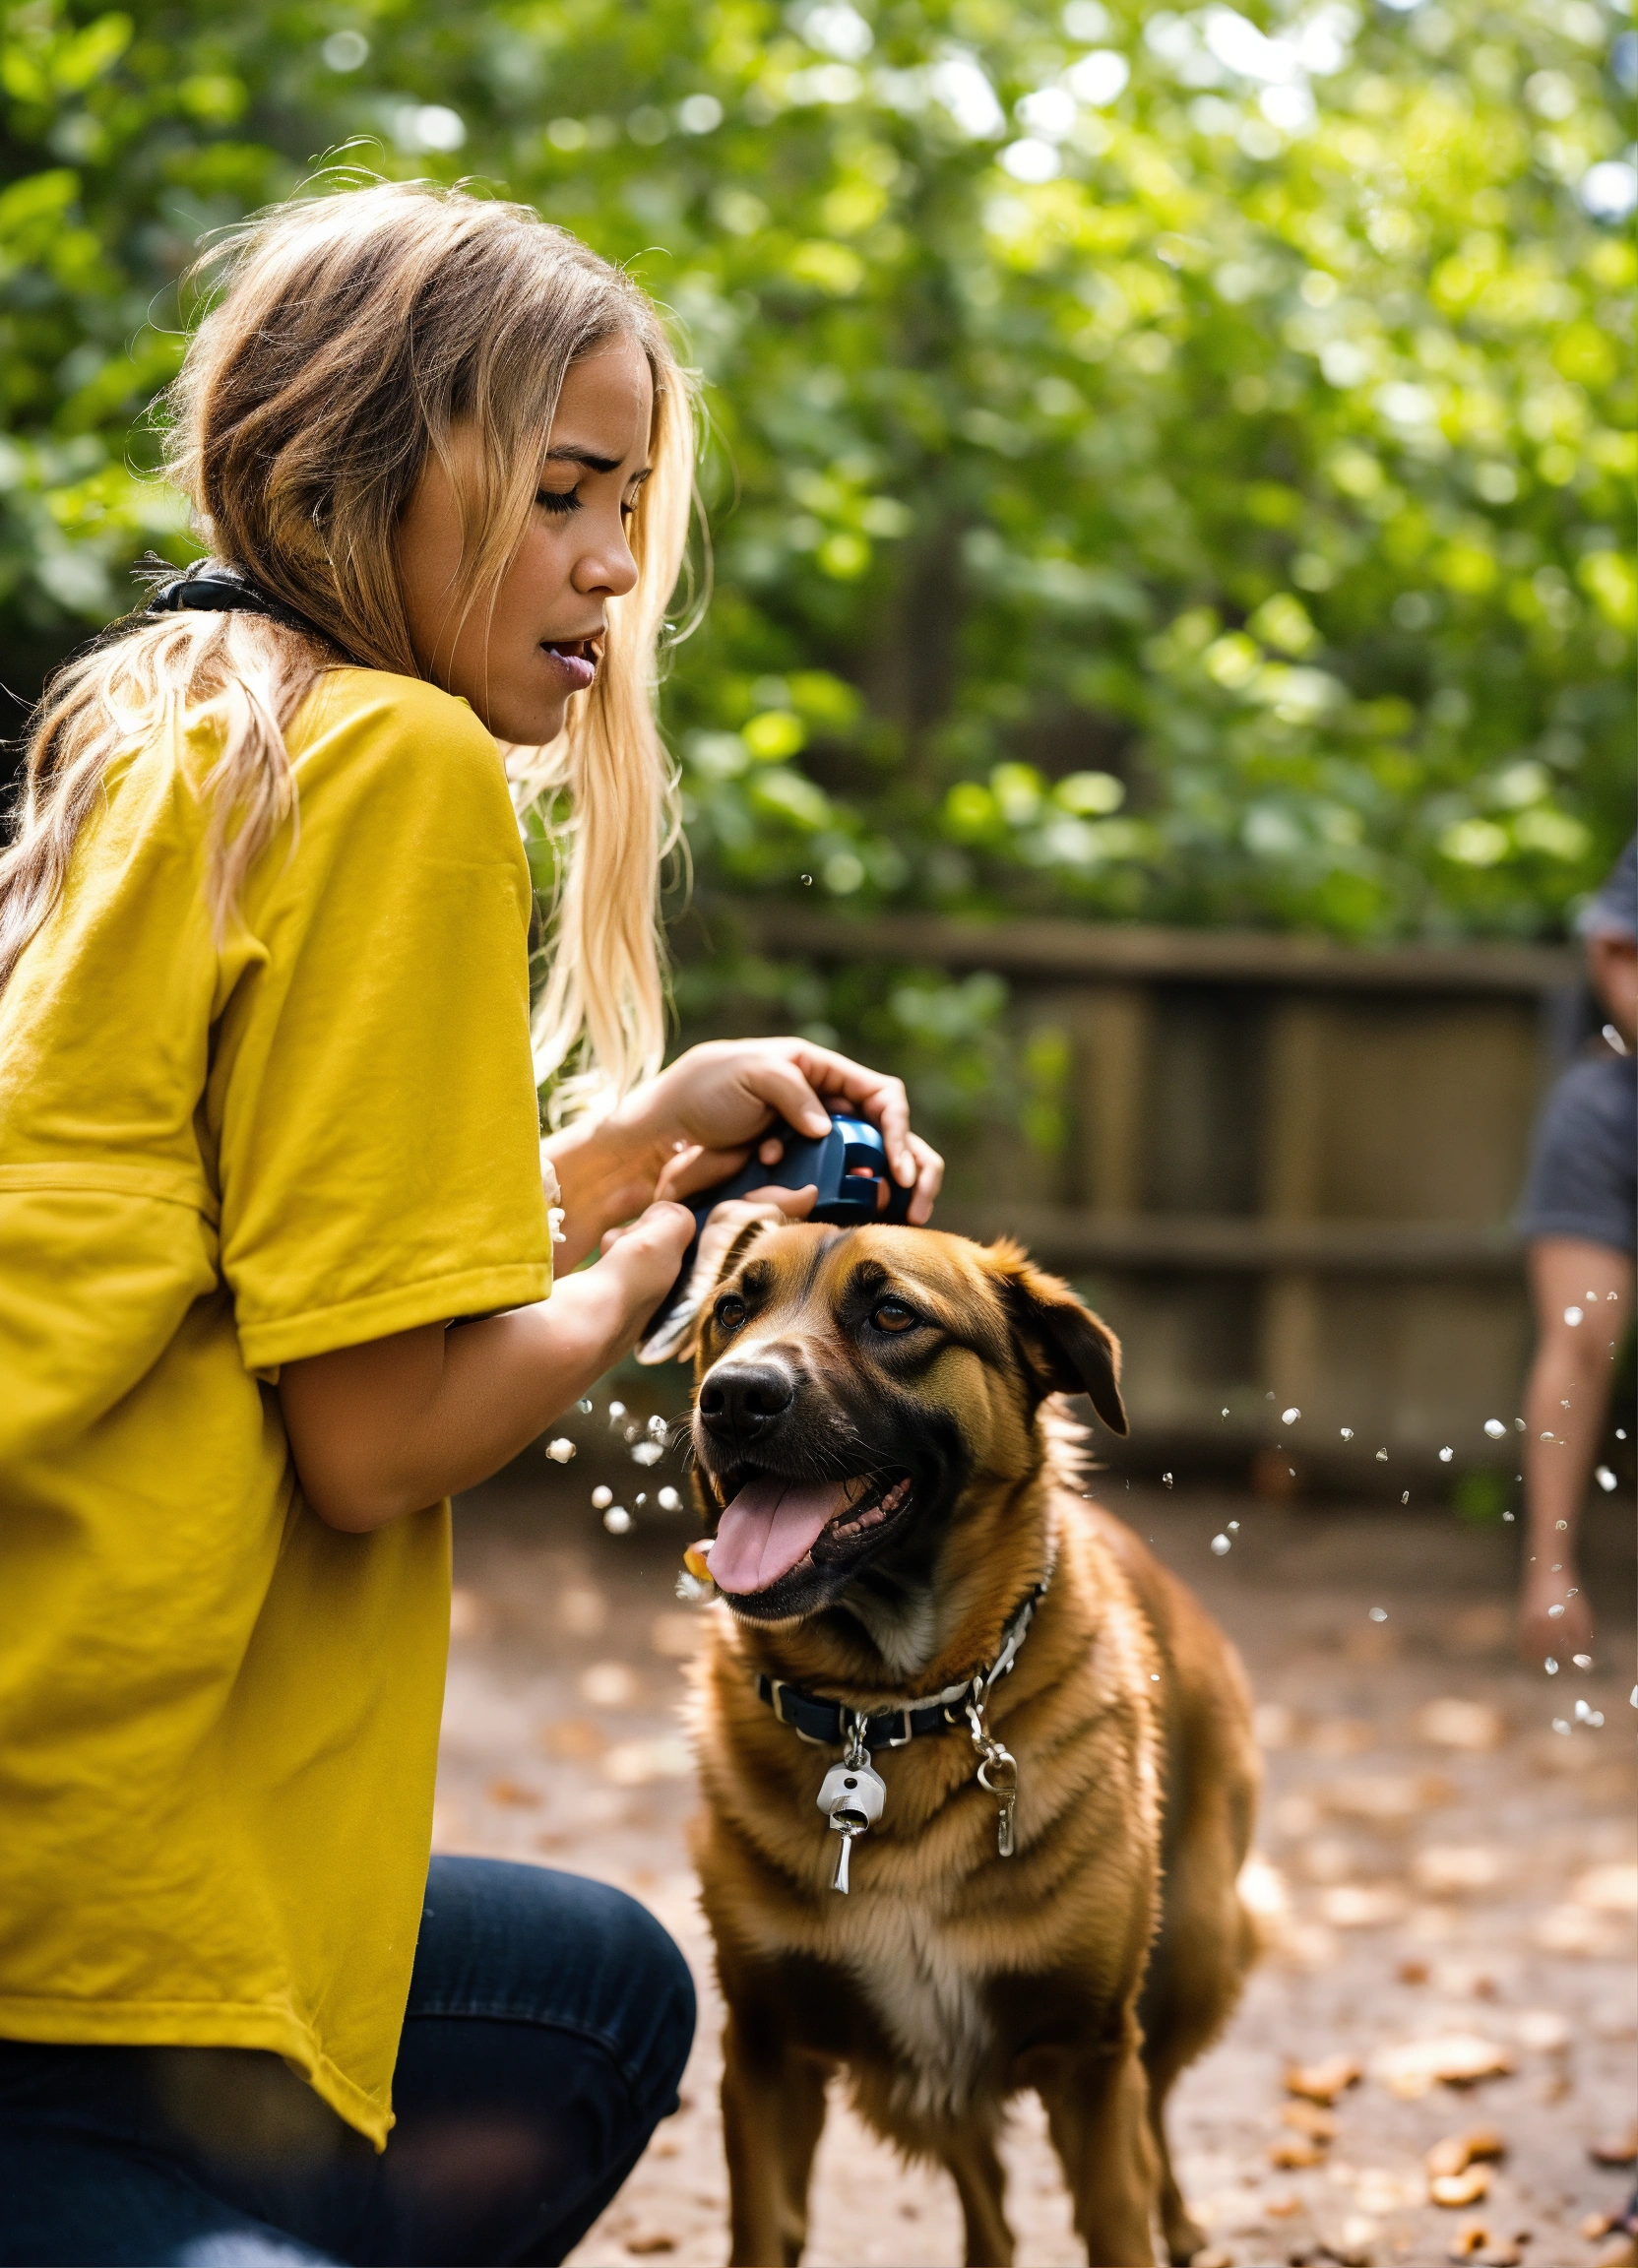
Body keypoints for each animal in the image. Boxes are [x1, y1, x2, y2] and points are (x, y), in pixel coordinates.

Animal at [680, 1225, 1261, 2268]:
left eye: (892, 1314)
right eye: (731, 1309)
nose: (734, 1397)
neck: (886, 1706)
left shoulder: (1092, 2055)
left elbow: (1121, 2214)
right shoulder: (766, 2053)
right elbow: (767, 2230)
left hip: (1189, 1957)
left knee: (1157, 2118)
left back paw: (1185, 2219)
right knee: (984, 2192)